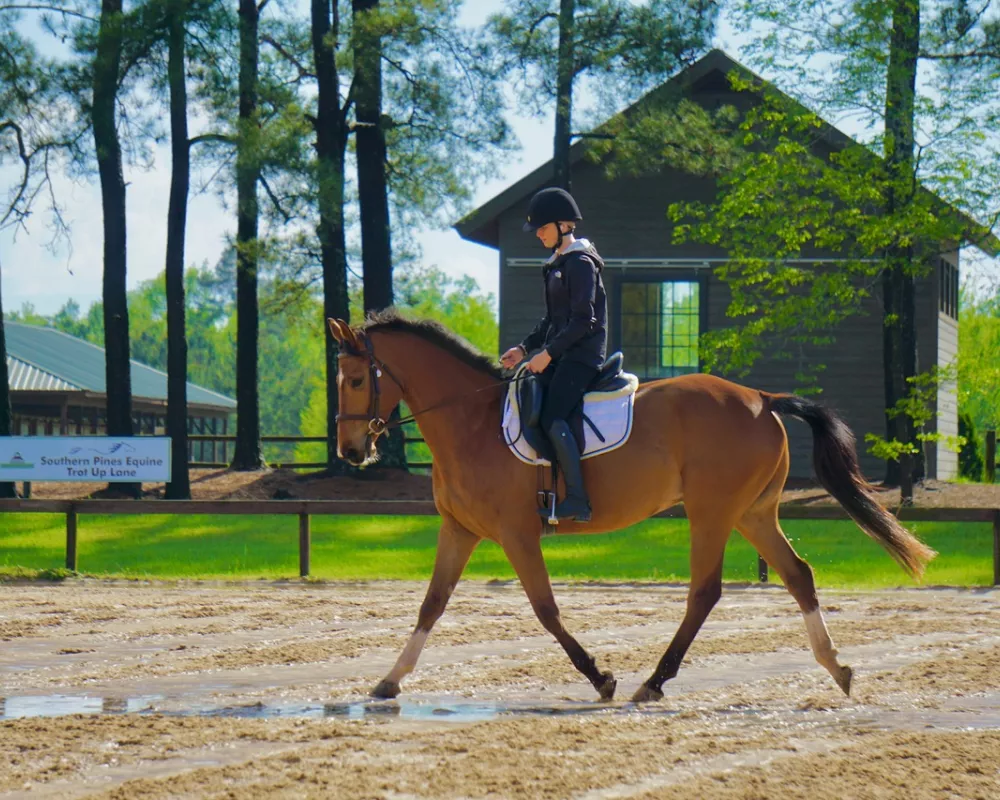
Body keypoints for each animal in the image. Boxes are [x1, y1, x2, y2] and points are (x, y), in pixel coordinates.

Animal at [330, 310, 936, 704]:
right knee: (798, 576)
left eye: (356, 378)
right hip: (753, 513)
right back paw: (836, 667)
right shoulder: (458, 530)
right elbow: (431, 605)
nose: (351, 451)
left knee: (705, 592)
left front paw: (600, 678)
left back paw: (654, 681)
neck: (470, 421)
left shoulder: (517, 532)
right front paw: (390, 679)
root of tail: (761, 399)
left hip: (712, 513)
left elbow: (546, 610)